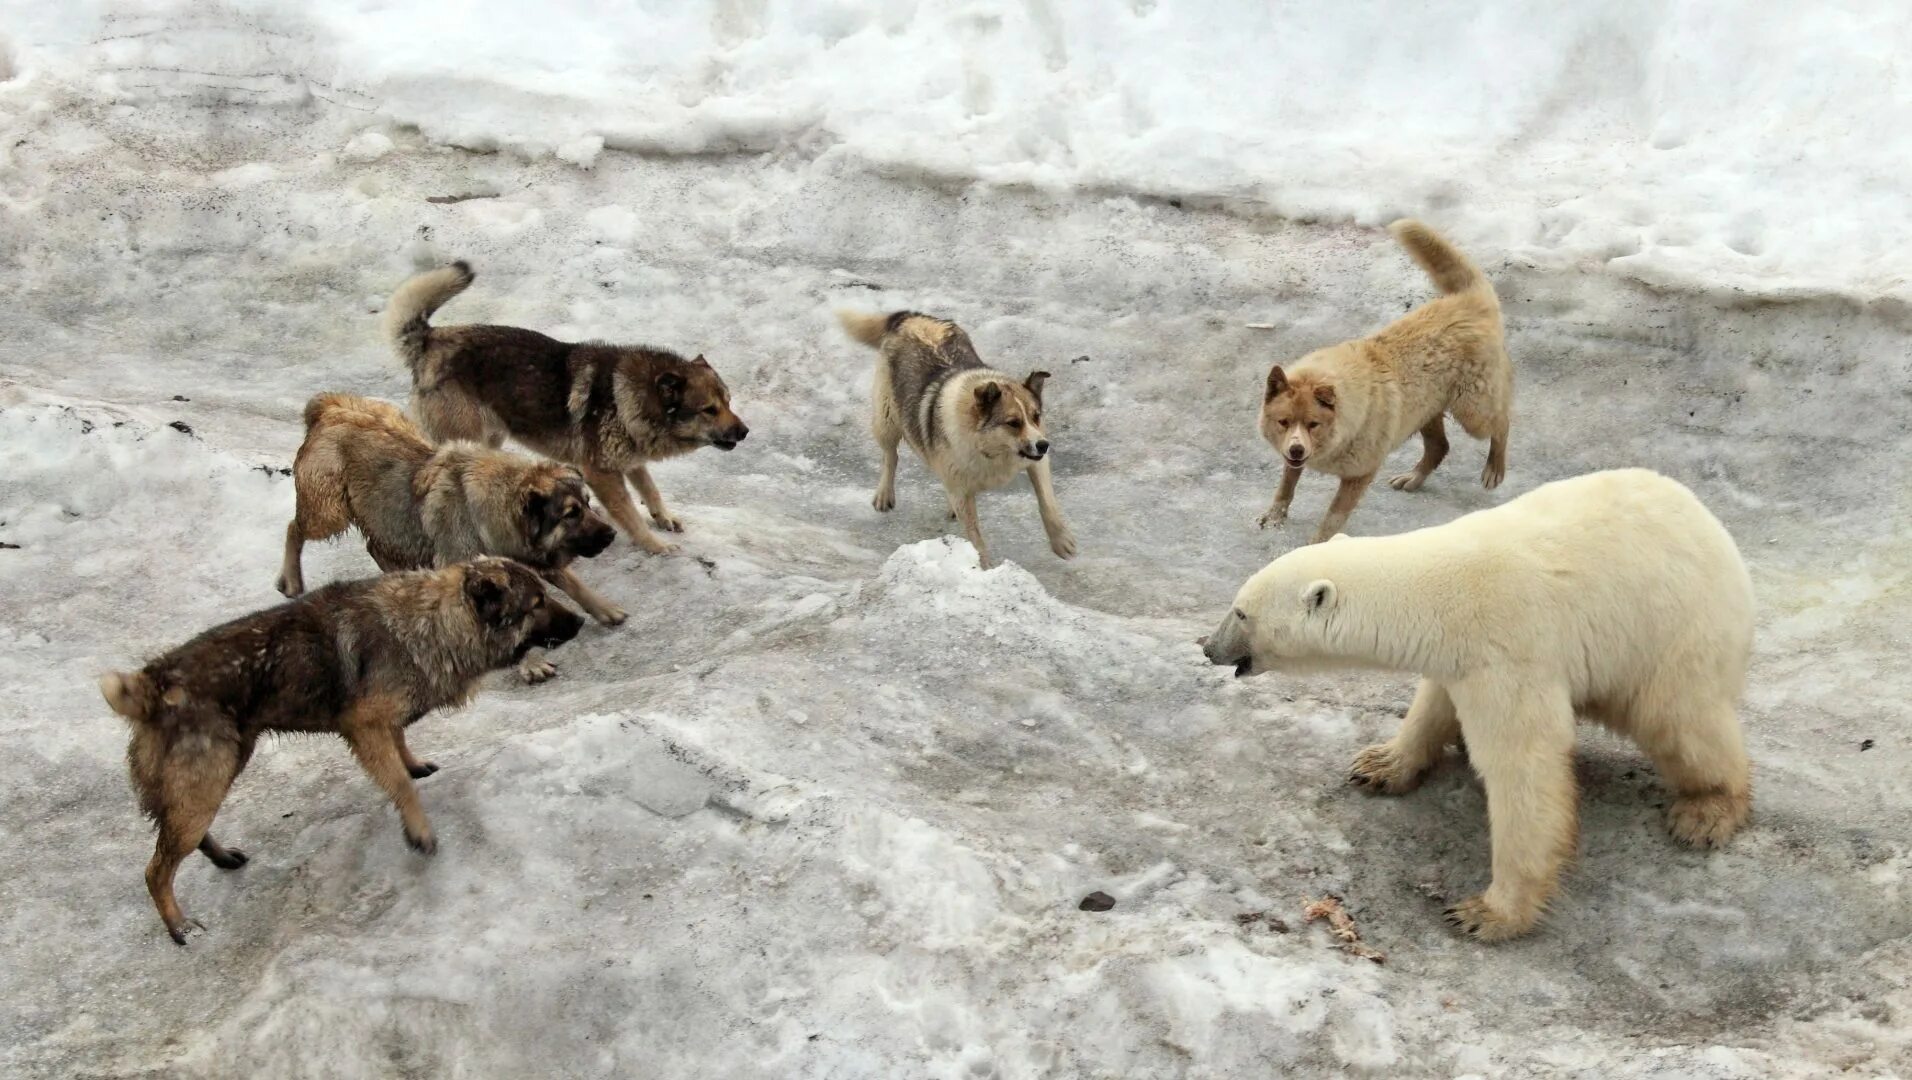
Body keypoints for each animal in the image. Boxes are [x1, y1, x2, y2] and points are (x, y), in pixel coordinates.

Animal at [100, 554, 577, 944]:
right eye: (535, 604)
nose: (581, 622)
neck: (432, 622)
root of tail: (151, 684)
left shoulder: (384, 724)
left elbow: (402, 750)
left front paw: (413, 763)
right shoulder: (363, 726)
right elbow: (400, 785)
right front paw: (418, 831)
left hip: (217, 773)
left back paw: (220, 858)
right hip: (207, 781)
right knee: (156, 870)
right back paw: (180, 927)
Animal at [384, 256, 749, 550]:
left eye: (729, 402)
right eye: (709, 410)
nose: (745, 431)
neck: (629, 398)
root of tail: (429, 340)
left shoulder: (631, 463)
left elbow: (651, 492)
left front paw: (664, 519)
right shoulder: (601, 474)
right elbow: (631, 514)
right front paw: (655, 546)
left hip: (491, 437)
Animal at [837, 307, 1078, 569]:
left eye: (1036, 416)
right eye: (1013, 423)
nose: (1044, 445)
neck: (991, 449)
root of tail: (911, 317)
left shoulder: (1035, 460)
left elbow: (1047, 501)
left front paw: (1062, 541)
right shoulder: (962, 488)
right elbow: (975, 535)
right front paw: (985, 568)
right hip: (886, 418)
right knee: (890, 456)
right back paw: (884, 494)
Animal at [1200, 468, 1751, 940]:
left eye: (1241, 612)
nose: (1208, 647)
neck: (1438, 592)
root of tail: (1712, 525)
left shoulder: (1510, 650)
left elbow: (1524, 768)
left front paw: (1488, 912)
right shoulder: (1461, 657)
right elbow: (1434, 706)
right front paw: (1379, 764)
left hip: (1673, 630)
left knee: (1679, 721)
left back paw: (1706, 811)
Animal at [1254, 219, 1506, 542]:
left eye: (1313, 424)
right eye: (1283, 422)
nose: (1297, 449)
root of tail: (1468, 300)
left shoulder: (1360, 473)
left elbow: (1333, 518)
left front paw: (1318, 545)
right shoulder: (1293, 458)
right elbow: (1286, 487)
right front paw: (1274, 518)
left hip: (1473, 412)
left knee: (1503, 421)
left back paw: (1494, 469)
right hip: (1424, 409)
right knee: (1440, 447)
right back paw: (1413, 478)